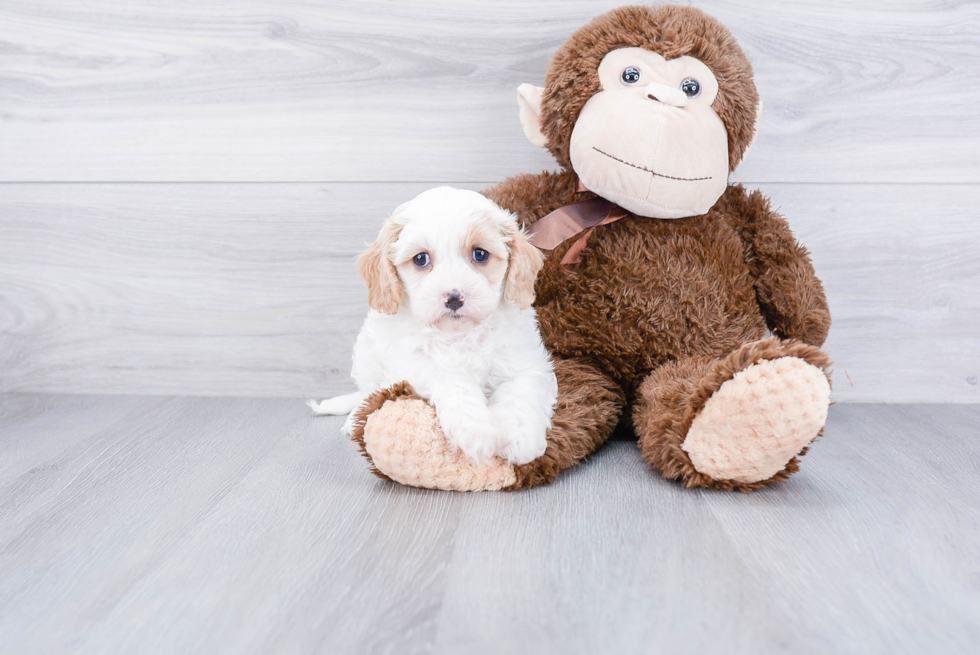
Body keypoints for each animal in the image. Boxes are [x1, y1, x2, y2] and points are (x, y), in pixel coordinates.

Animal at [312, 187, 560, 468]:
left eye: (480, 254)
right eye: (421, 259)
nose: (453, 298)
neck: (459, 335)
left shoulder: (526, 362)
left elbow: (520, 393)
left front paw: (520, 439)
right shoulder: (415, 365)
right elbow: (453, 381)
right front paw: (476, 432)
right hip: (367, 358)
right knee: (367, 392)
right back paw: (353, 418)